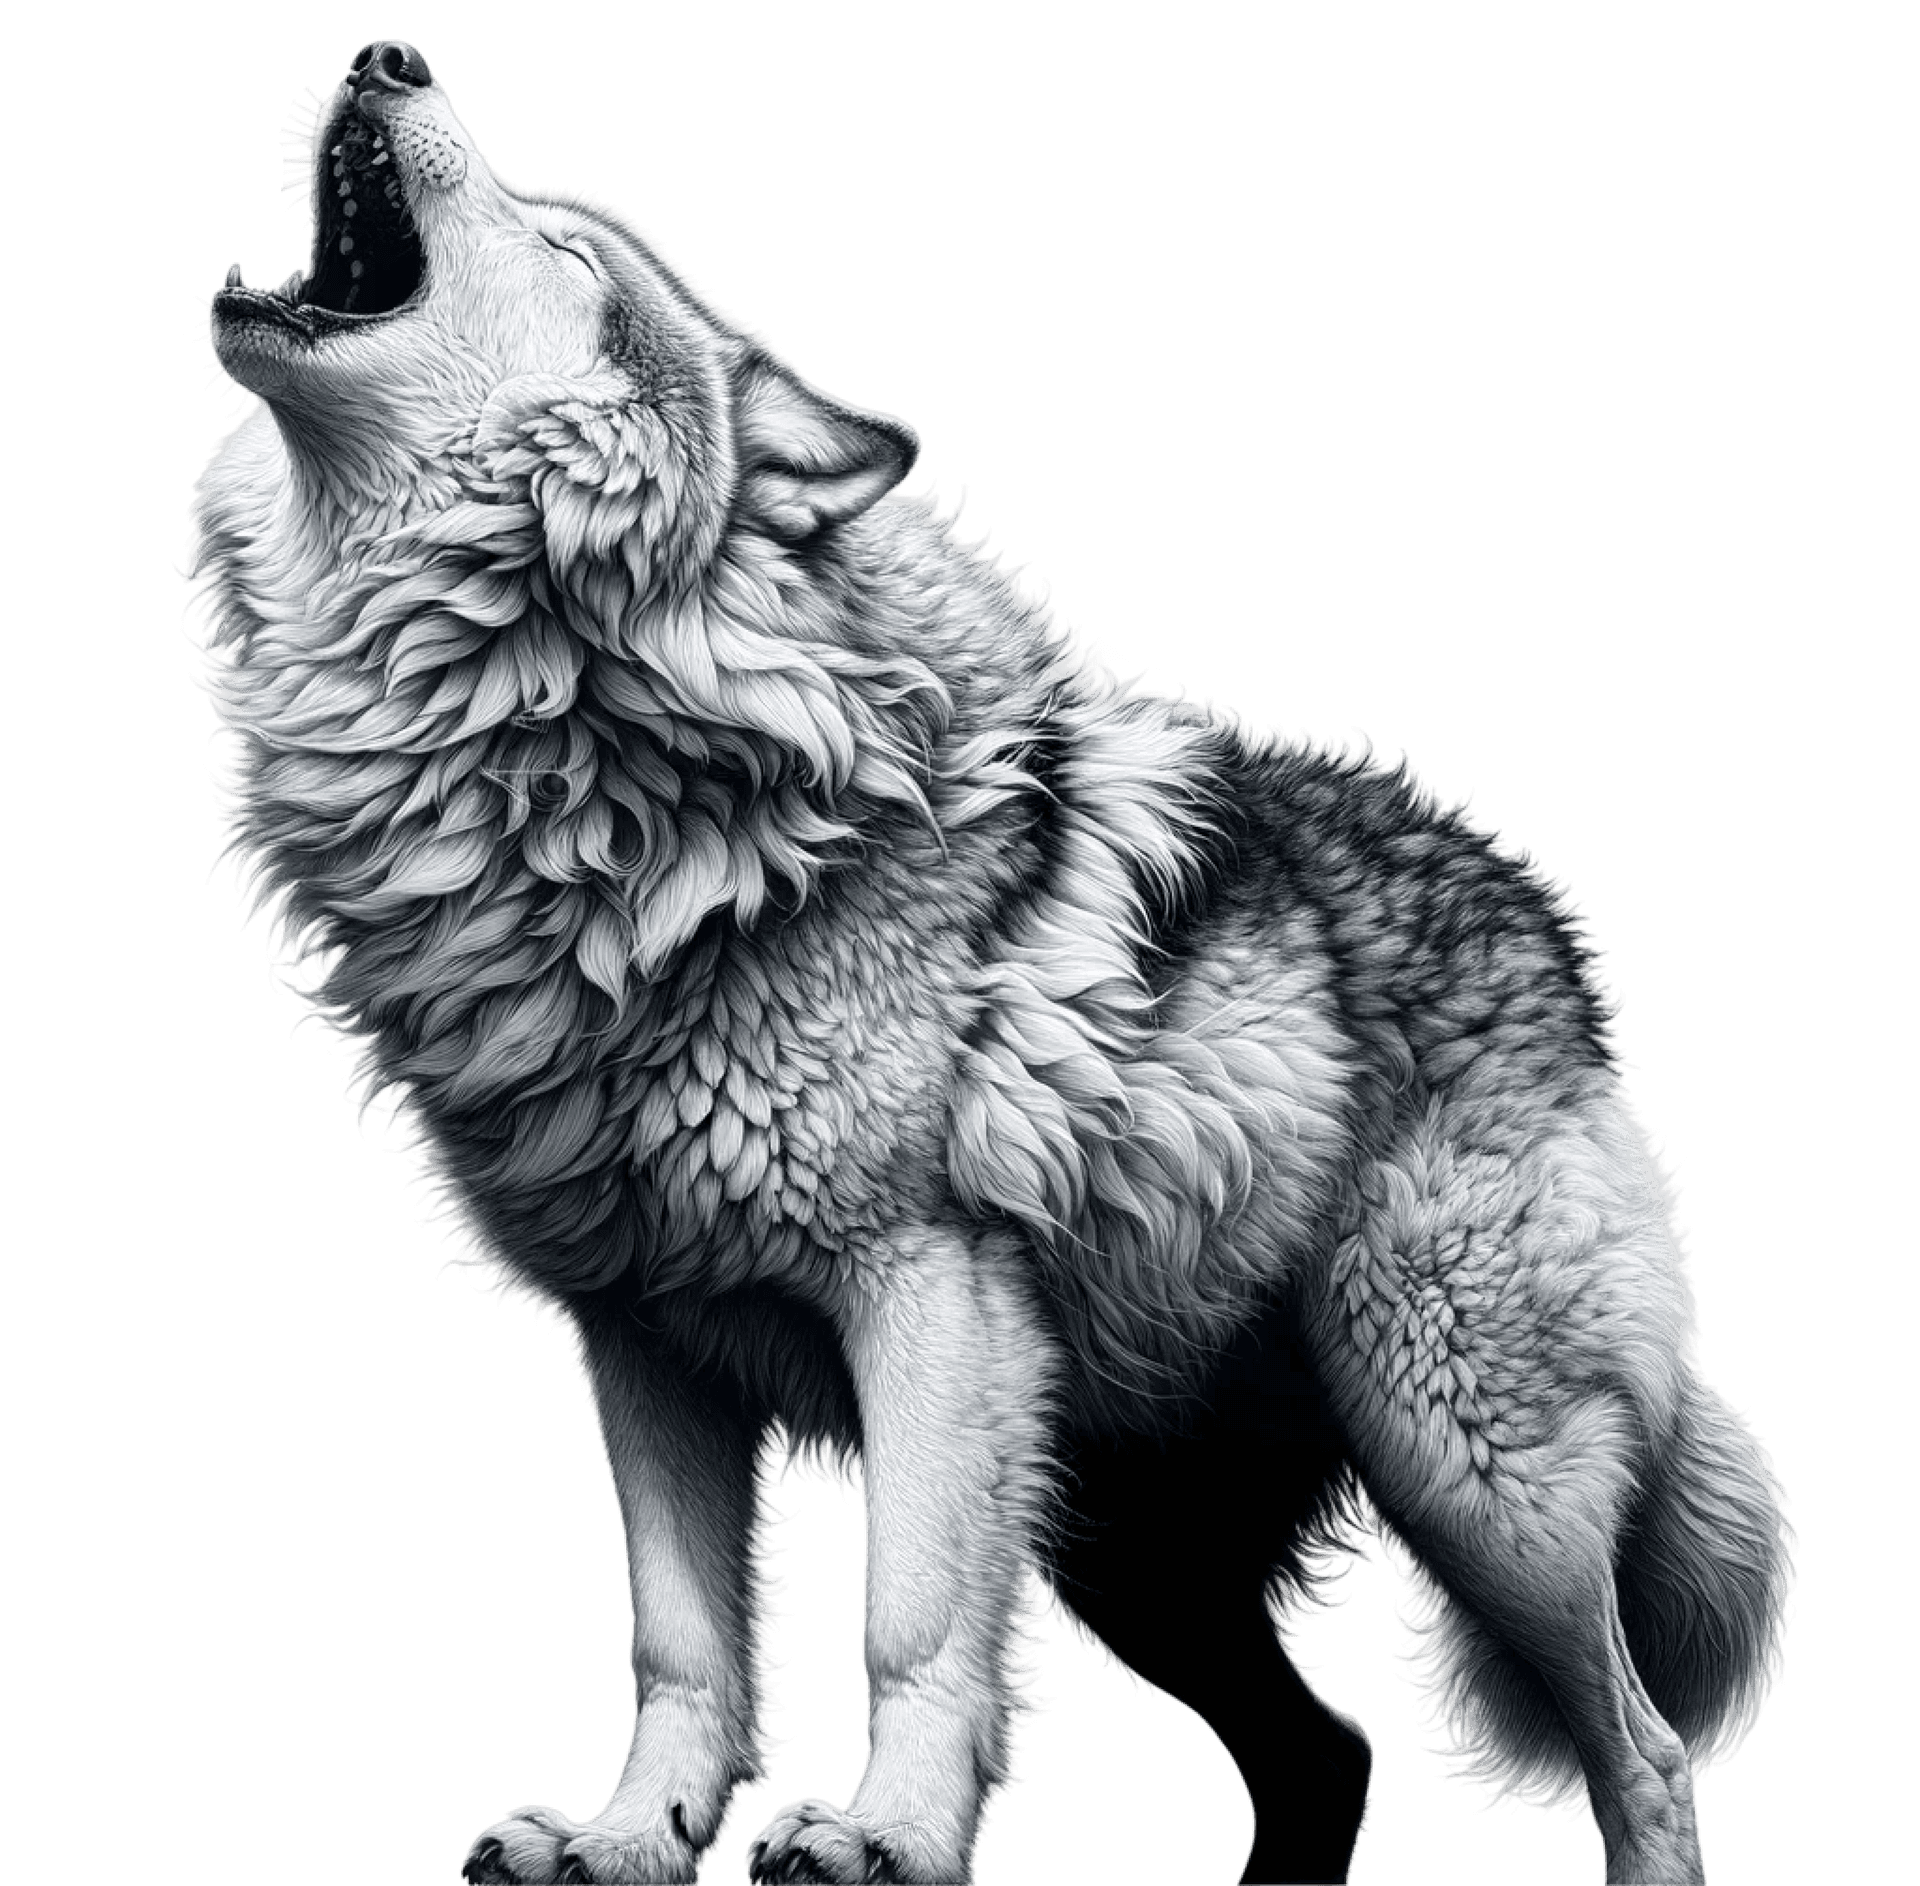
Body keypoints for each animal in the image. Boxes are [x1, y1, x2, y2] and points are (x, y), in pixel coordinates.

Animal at [190, 38, 1793, 1886]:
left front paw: (878, 1836)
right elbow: (684, 1643)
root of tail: (1538, 922)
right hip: (1138, 1544)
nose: (388, 54)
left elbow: (912, 1617)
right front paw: (625, 1838)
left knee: (1643, 1744)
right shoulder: (643, 1341)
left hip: (1463, 1464)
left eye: (563, 248)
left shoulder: (923, 1293)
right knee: (1329, 1754)